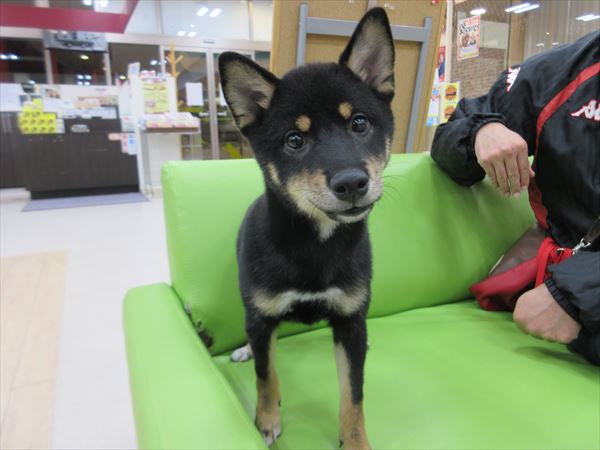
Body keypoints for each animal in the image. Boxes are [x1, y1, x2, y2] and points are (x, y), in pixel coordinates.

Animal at [219, 8, 395, 450]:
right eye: (294, 140)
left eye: (360, 123)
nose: (351, 183)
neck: (316, 244)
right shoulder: (263, 316)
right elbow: (266, 377)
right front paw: (266, 422)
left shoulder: (349, 323)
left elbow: (354, 395)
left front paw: (356, 441)